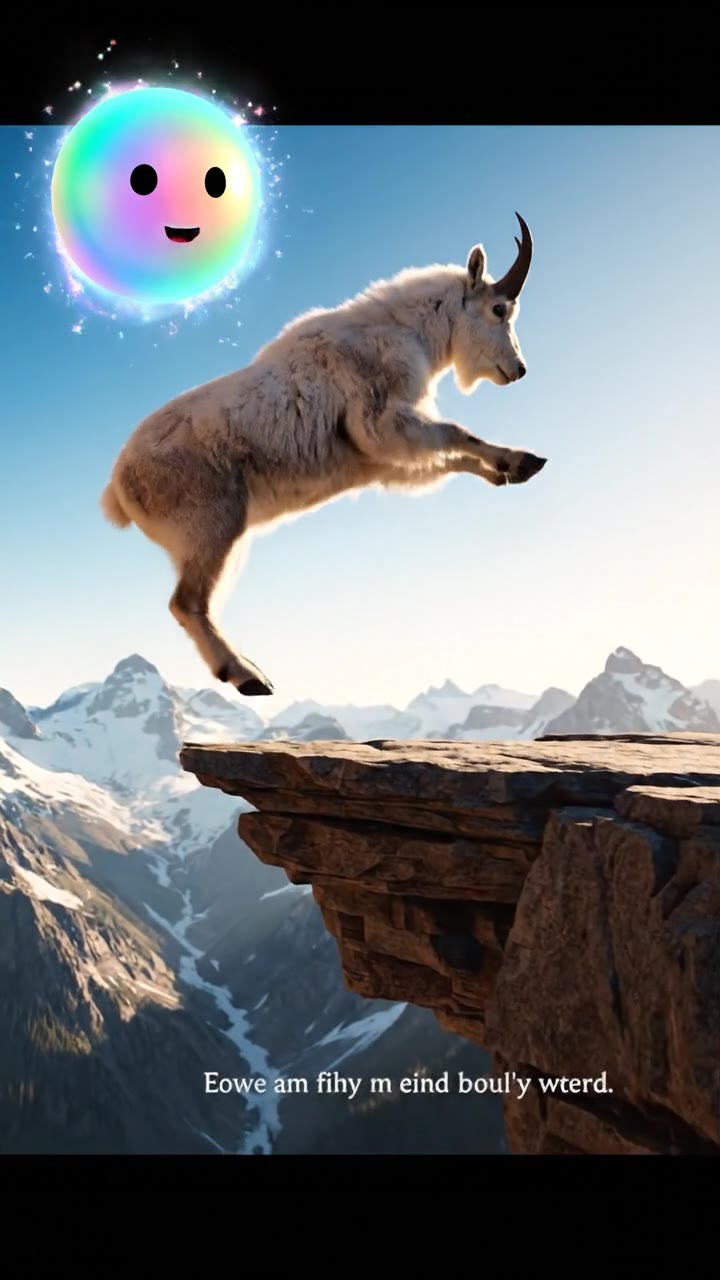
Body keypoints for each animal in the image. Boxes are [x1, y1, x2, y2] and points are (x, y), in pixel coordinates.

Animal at [100, 212, 547, 697]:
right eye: (499, 309)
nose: (519, 370)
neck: (406, 331)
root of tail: (119, 489)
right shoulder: (379, 423)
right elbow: (454, 432)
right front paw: (521, 459)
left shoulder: (381, 459)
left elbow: (444, 457)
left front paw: (507, 470)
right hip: (214, 526)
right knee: (187, 602)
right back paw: (247, 675)